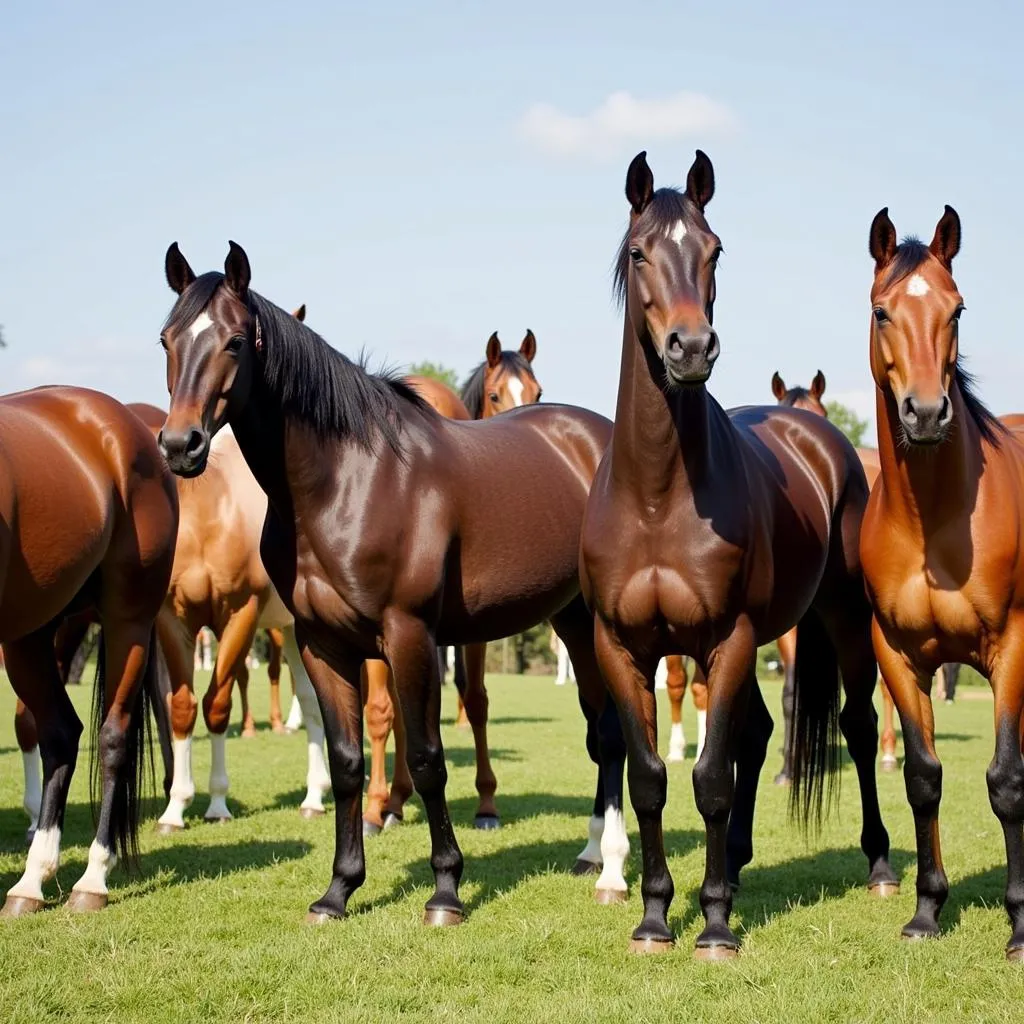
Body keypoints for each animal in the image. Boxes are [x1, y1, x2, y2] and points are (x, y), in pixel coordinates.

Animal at [0, 387, 177, 917]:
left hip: (128, 622)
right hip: (32, 633)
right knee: (59, 733)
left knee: (113, 737)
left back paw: (92, 880)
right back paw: (30, 882)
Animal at [577, 151, 897, 958]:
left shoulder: (727, 638)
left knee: (857, 727)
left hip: (841, 623)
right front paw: (656, 916)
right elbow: (652, 778)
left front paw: (715, 925)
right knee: (757, 735)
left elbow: (711, 778)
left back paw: (879, 866)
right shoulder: (621, 646)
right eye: (639, 252)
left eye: (714, 250)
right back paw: (743, 864)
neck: (658, 497)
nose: (691, 348)